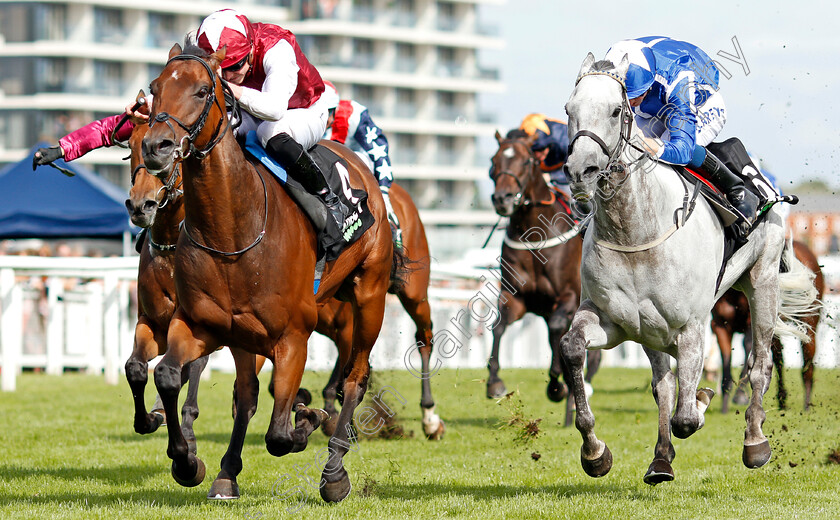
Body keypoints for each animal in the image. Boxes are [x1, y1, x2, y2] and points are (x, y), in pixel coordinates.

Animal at [141, 44, 398, 504]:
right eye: (155, 88)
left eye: (203, 90)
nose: (157, 145)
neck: (232, 230)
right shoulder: (199, 324)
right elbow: (169, 375)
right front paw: (187, 462)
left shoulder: (294, 335)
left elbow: (280, 434)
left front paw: (308, 416)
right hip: (245, 336)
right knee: (245, 396)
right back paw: (227, 473)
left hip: (369, 296)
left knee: (355, 378)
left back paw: (335, 470)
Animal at [486, 130, 596, 426]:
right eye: (494, 160)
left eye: (526, 162)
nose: (502, 199)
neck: (534, 235)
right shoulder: (516, 298)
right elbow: (498, 327)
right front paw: (494, 383)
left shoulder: (568, 298)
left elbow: (559, 332)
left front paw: (556, 386)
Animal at [556, 51, 812, 484]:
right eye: (568, 109)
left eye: (614, 110)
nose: (580, 172)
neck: (635, 231)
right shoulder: (614, 321)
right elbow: (574, 348)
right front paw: (595, 453)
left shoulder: (691, 326)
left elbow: (689, 417)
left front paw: (705, 400)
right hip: (651, 332)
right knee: (664, 386)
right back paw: (660, 460)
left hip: (761, 282)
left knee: (759, 366)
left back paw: (755, 442)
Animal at [712, 238, 824, 412]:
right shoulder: (719, 326)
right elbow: (726, 360)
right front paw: (724, 401)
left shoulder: (751, 324)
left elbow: (748, 347)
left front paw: (741, 394)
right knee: (779, 360)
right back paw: (782, 399)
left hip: (809, 321)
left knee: (807, 363)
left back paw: (806, 405)